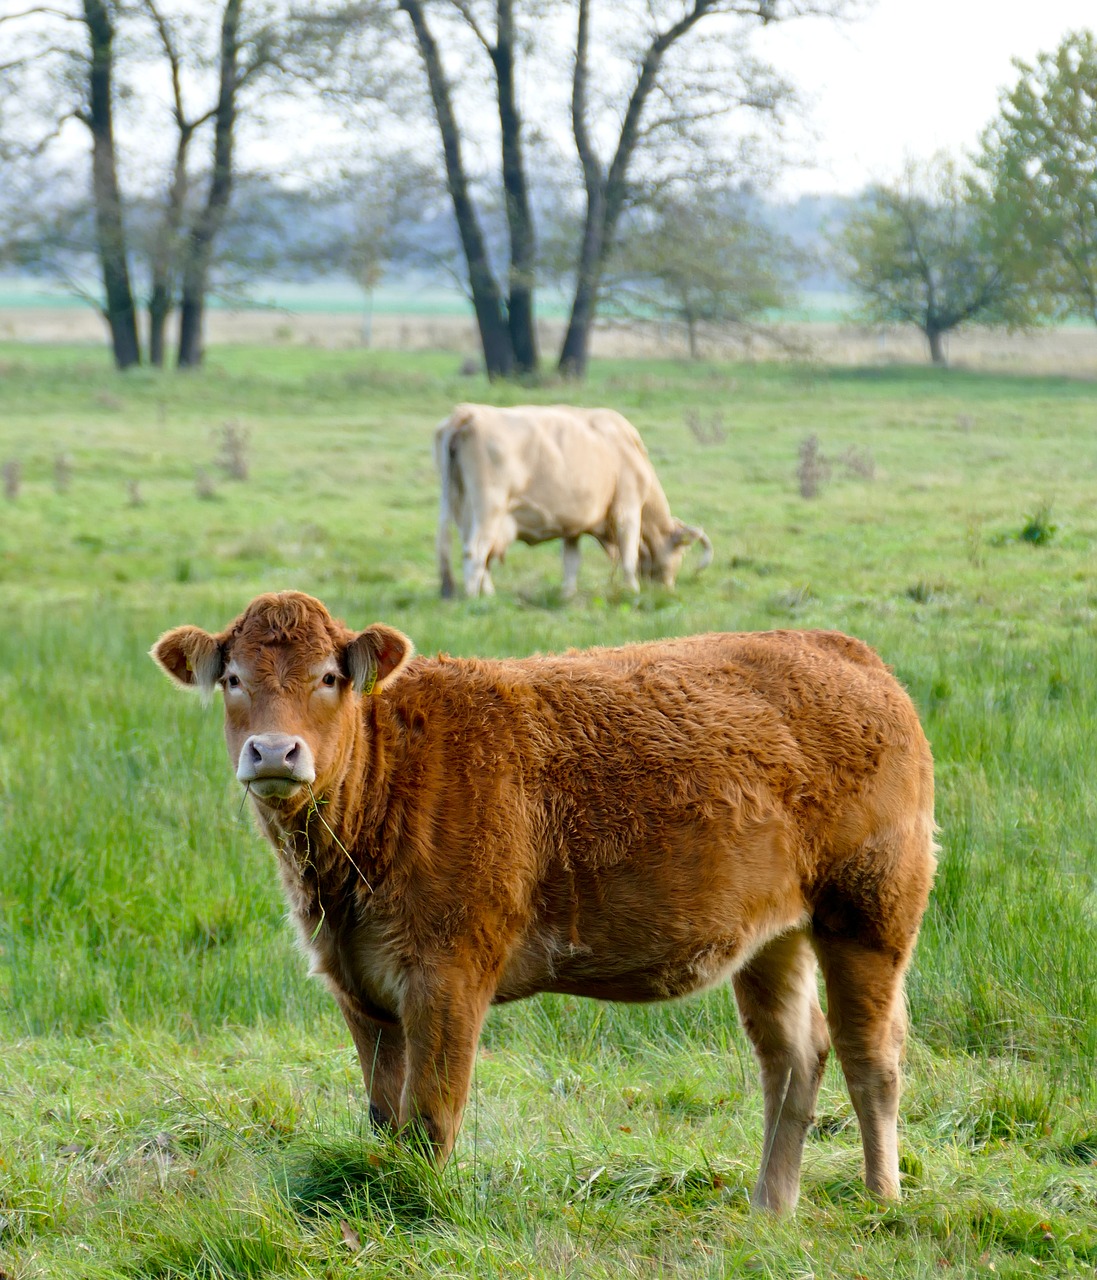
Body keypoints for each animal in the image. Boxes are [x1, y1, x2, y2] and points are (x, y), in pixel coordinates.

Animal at [151, 588, 931, 1208]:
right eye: (233, 678)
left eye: (329, 677)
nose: (273, 752)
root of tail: (844, 651)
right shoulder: (358, 987)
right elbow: (383, 1121)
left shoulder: (447, 976)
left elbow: (429, 1118)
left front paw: (420, 1213)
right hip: (773, 936)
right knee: (794, 1055)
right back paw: (771, 1206)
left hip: (868, 913)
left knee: (870, 1055)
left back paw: (881, 1199)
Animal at [432, 401, 716, 596]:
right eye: (681, 551)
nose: (667, 588)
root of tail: (469, 412)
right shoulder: (627, 508)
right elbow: (629, 555)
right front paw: (632, 589)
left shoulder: (572, 526)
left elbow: (571, 562)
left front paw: (568, 594)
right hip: (489, 508)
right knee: (476, 551)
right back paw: (476, 598)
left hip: (463, 509)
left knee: (482, 555)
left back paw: (487, 593)